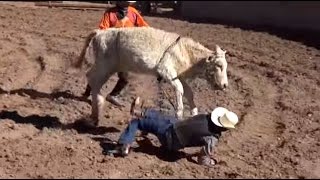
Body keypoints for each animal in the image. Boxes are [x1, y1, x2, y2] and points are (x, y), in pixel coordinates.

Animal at [75, 26, 229, 126]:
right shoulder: (166, 70)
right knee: (93, 79)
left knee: (92, 78)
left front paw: (194, 114)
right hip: (105, 65)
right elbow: (180, 89)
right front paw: (179, 114)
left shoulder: (178, 76)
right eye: (219, 65)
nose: (225, 85)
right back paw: (97, 109)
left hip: (109, 66)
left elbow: (189, 92)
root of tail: (100, 32)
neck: (185, 51)